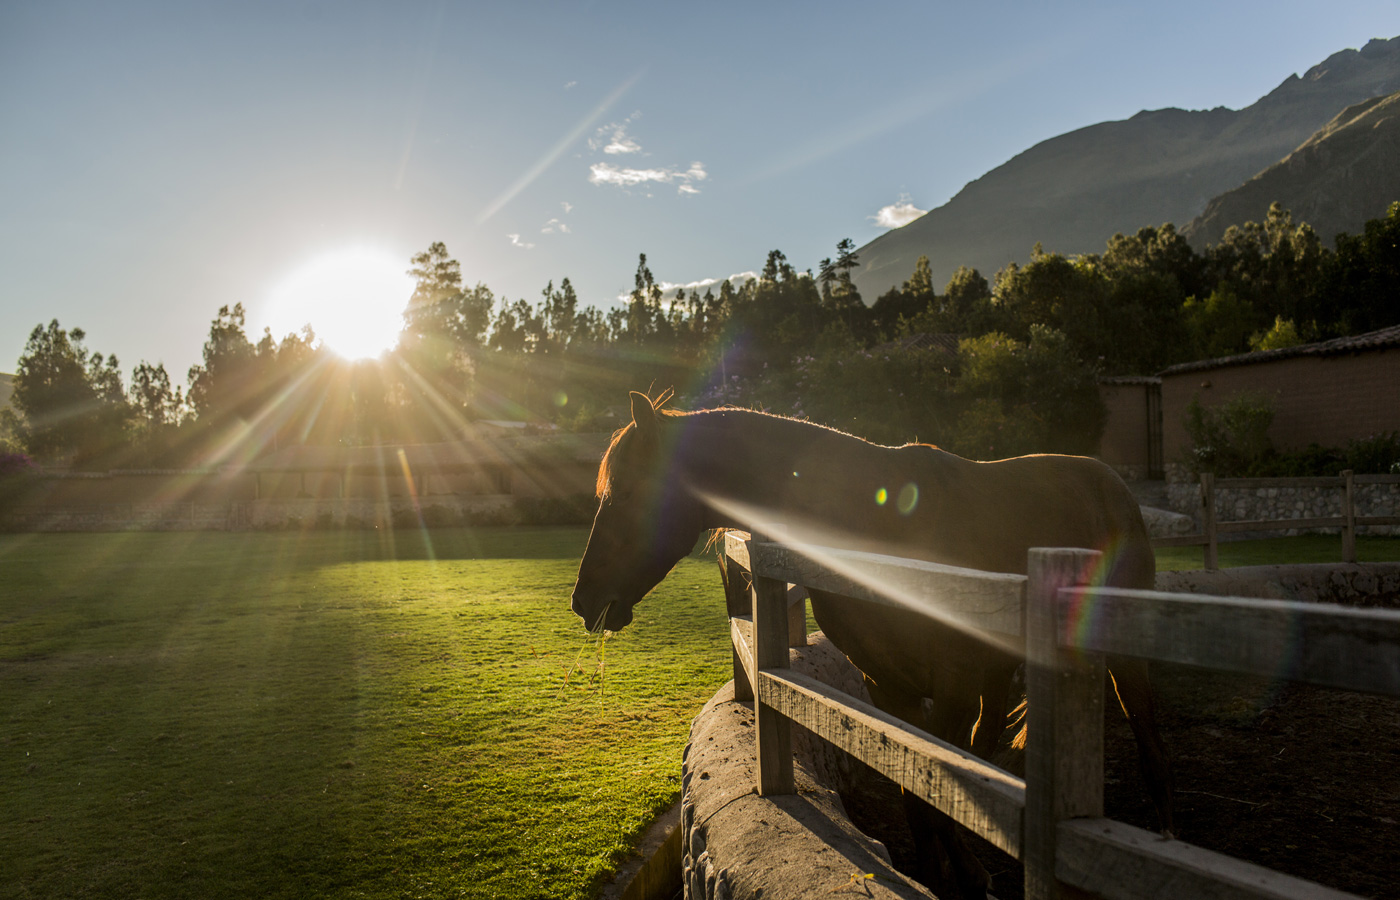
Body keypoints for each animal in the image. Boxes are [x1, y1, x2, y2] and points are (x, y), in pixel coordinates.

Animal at [568, 394, 1170, 900]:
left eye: (625, 493)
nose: (583, 599)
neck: (872, 525)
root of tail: (1110, 481)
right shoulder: (890, 689)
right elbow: (918, 797)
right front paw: (946, 876)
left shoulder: (950, 689)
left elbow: (936, 789)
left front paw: (968, 874)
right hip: (998, 672)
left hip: (1117, 660)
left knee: (1146, 731)